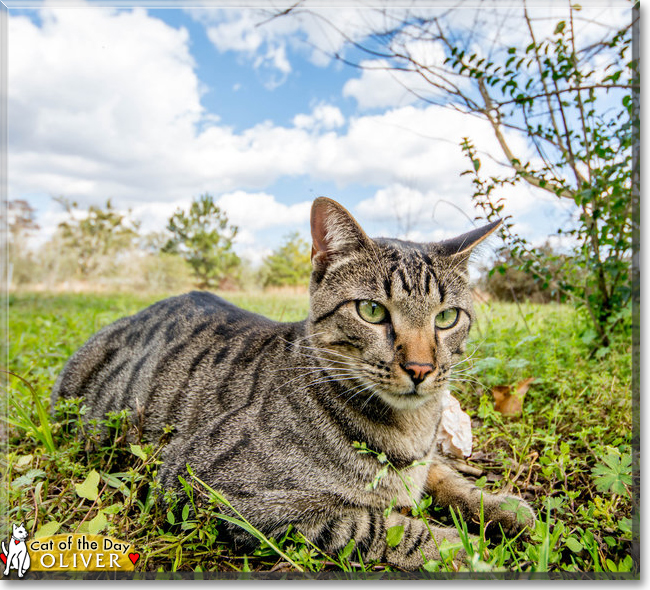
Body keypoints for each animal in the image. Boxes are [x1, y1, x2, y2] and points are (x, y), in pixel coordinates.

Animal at [52, 199, 532, 572]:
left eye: (447, 318)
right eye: (372, 311)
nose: (420, 368)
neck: (411, 426)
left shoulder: (425, 459)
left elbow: (445, 475)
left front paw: (502, 507)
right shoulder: (213, 488)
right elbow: (376, 525)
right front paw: (465, 549)